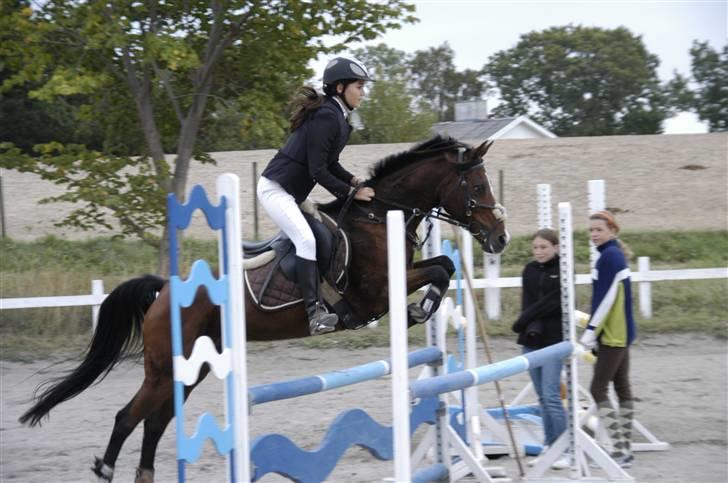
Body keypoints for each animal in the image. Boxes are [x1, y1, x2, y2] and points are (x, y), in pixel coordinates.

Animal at [19, 135, 509, 482]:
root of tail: (167, 291)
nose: (500, 238)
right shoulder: (377, 291)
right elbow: (440, 270)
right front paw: (420, 309)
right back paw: (105, 469)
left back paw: (144, 475)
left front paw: (425, 308)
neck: (378, 218)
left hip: (192, 368)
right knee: (129, 417)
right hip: (165, 367)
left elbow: (445, 264)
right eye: (477, 185)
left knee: (156, 422)